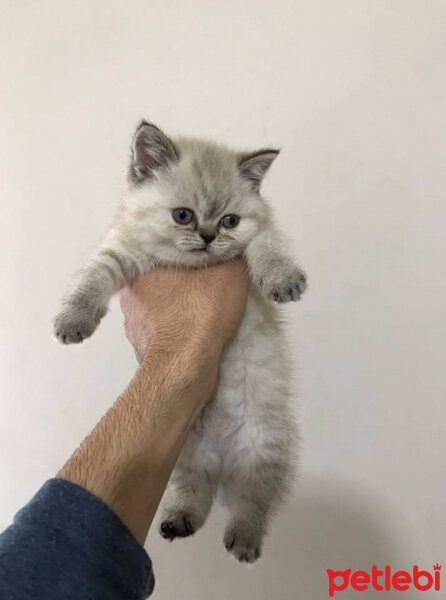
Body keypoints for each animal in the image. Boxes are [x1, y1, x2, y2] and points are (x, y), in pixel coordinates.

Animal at [53, 120, 306, 564]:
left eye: (229, 221)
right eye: (183, 216)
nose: (207, 236)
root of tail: (222, 458)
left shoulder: (257, 237)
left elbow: (267, 246)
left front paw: (283, 279)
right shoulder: (118, 252)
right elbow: (89, 280)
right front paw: (73, 320)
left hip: (263, 450)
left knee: (253, 503)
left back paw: (243, 542)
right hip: (186, 457)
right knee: (195, 494)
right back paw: (178, 521)